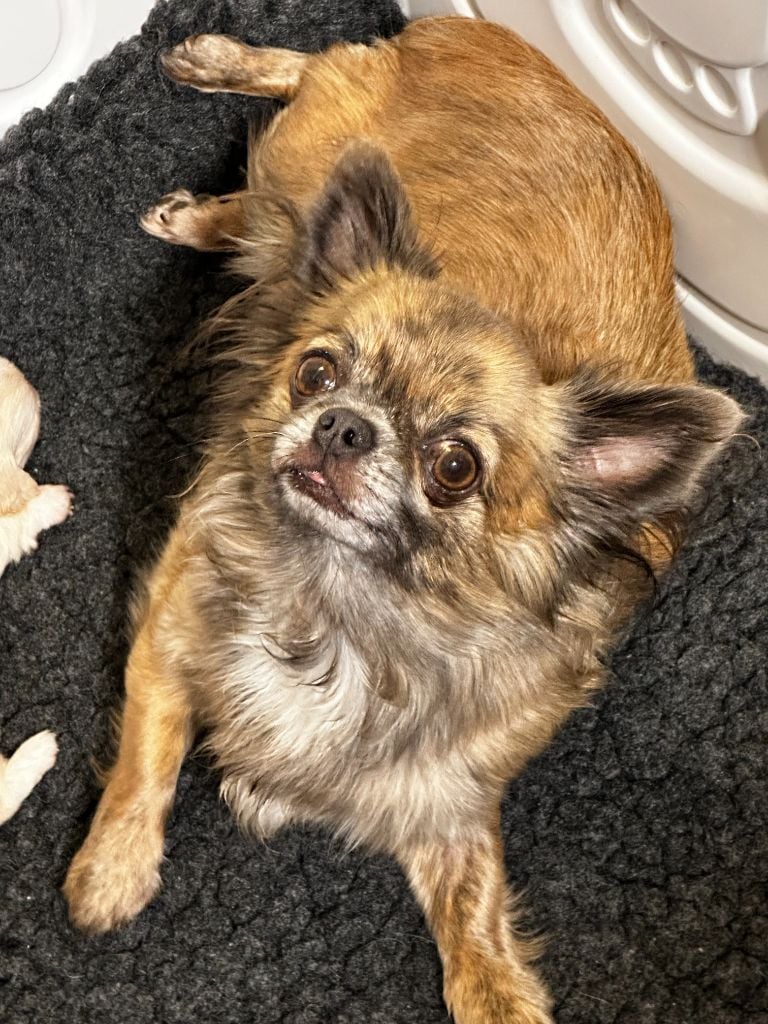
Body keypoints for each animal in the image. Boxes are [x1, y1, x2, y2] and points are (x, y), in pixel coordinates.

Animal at [63, 17, 742, 1023]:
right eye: (315, 373)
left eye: (455, 468)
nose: (344, 425)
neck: (339, 609)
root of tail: (482, 33)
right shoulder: (170, 618)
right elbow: (146, 756)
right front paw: (110, 872)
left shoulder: (447, 804)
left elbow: (476, 920)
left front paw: (501, 996)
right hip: (311, 147)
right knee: (305, 94)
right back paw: (214, 83)